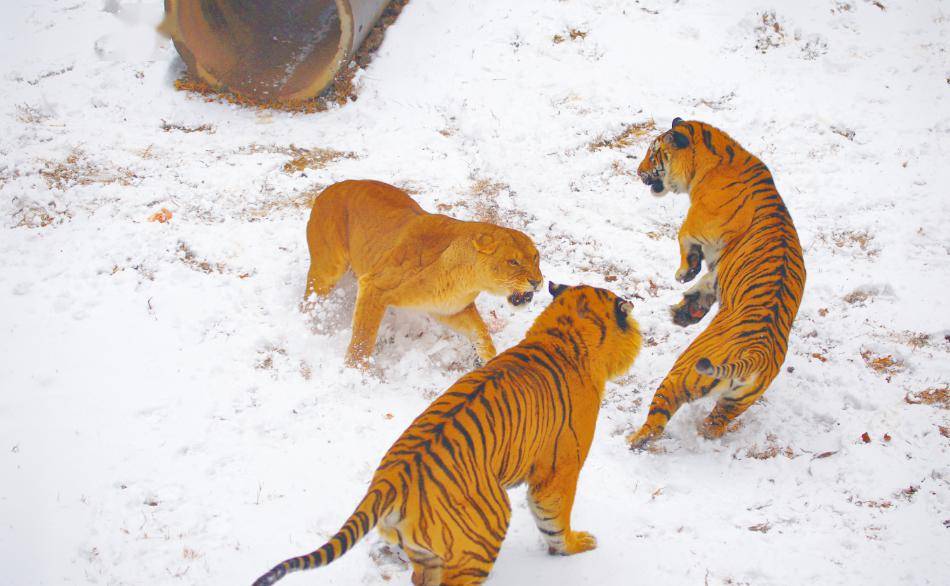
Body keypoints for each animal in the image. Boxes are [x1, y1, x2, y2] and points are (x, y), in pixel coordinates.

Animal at [253, 280, 644, 580]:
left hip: (426, 554)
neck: (564, 333)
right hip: (484, 534)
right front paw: (576, 546)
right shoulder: (559, 471)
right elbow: (554, 521)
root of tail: (389, 481)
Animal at [304, 180, 544, 368]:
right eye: (513, 261)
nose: (537, 282)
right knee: (310, 299)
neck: (466, 280)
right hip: (328, 267)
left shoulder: (449, 309)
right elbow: (363, 339)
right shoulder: (374, 285)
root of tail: (329, 188)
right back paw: (310, 324)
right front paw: (355, 373)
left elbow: (481, 332)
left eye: (535, 257)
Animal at [628, 118, 808, 448]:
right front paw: (687, 311)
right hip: (736, 402)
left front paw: (684, 273)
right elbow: (709, 280)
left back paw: (633, 439)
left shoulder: (699, 224)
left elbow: (684, 239)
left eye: (652, 153)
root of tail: (756, 354)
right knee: (715, 424)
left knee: (656, 422)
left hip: (682, 372)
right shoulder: (722, 262)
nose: (638, 170)